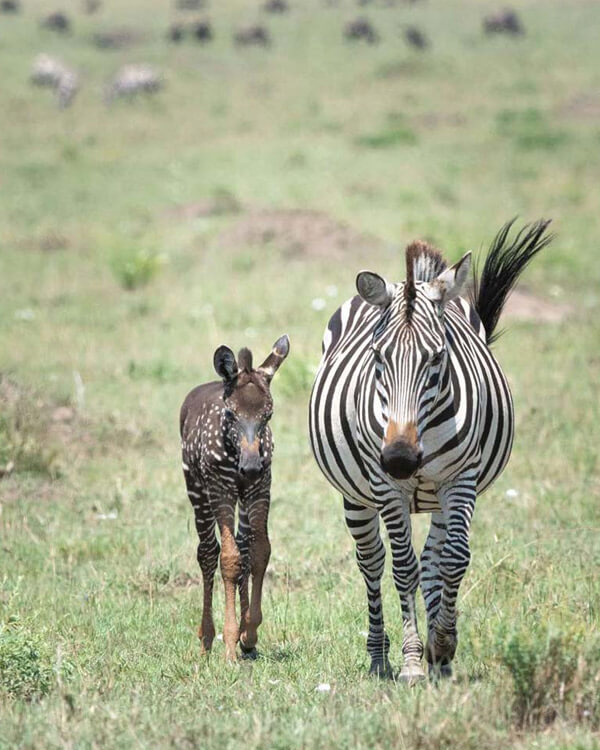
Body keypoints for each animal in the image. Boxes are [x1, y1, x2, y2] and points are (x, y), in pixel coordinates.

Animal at [310, 220, 552, 684]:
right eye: (377, 357)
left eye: (438, 357)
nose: (400, 460)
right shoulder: (386, 487)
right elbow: (402, 567)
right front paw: (410, 661)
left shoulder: (461, 479)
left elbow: (454, 559)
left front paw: (442, 647)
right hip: (356, 496)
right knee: (372, 562)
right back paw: (379, 657)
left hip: (439, 494)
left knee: (434, 558)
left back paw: (438, 658)